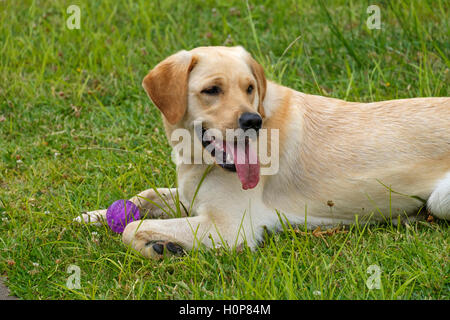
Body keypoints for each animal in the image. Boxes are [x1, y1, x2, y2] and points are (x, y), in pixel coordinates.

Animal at [75, 46, 448, 258]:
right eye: (212, 90)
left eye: (249, 88)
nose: (253, 121)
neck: (199, 160)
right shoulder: (190, 196)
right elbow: (144, 196)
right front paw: (93, 216)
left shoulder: (229, 226)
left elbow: (131, 229)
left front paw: (162, 246)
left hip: (440, 199)